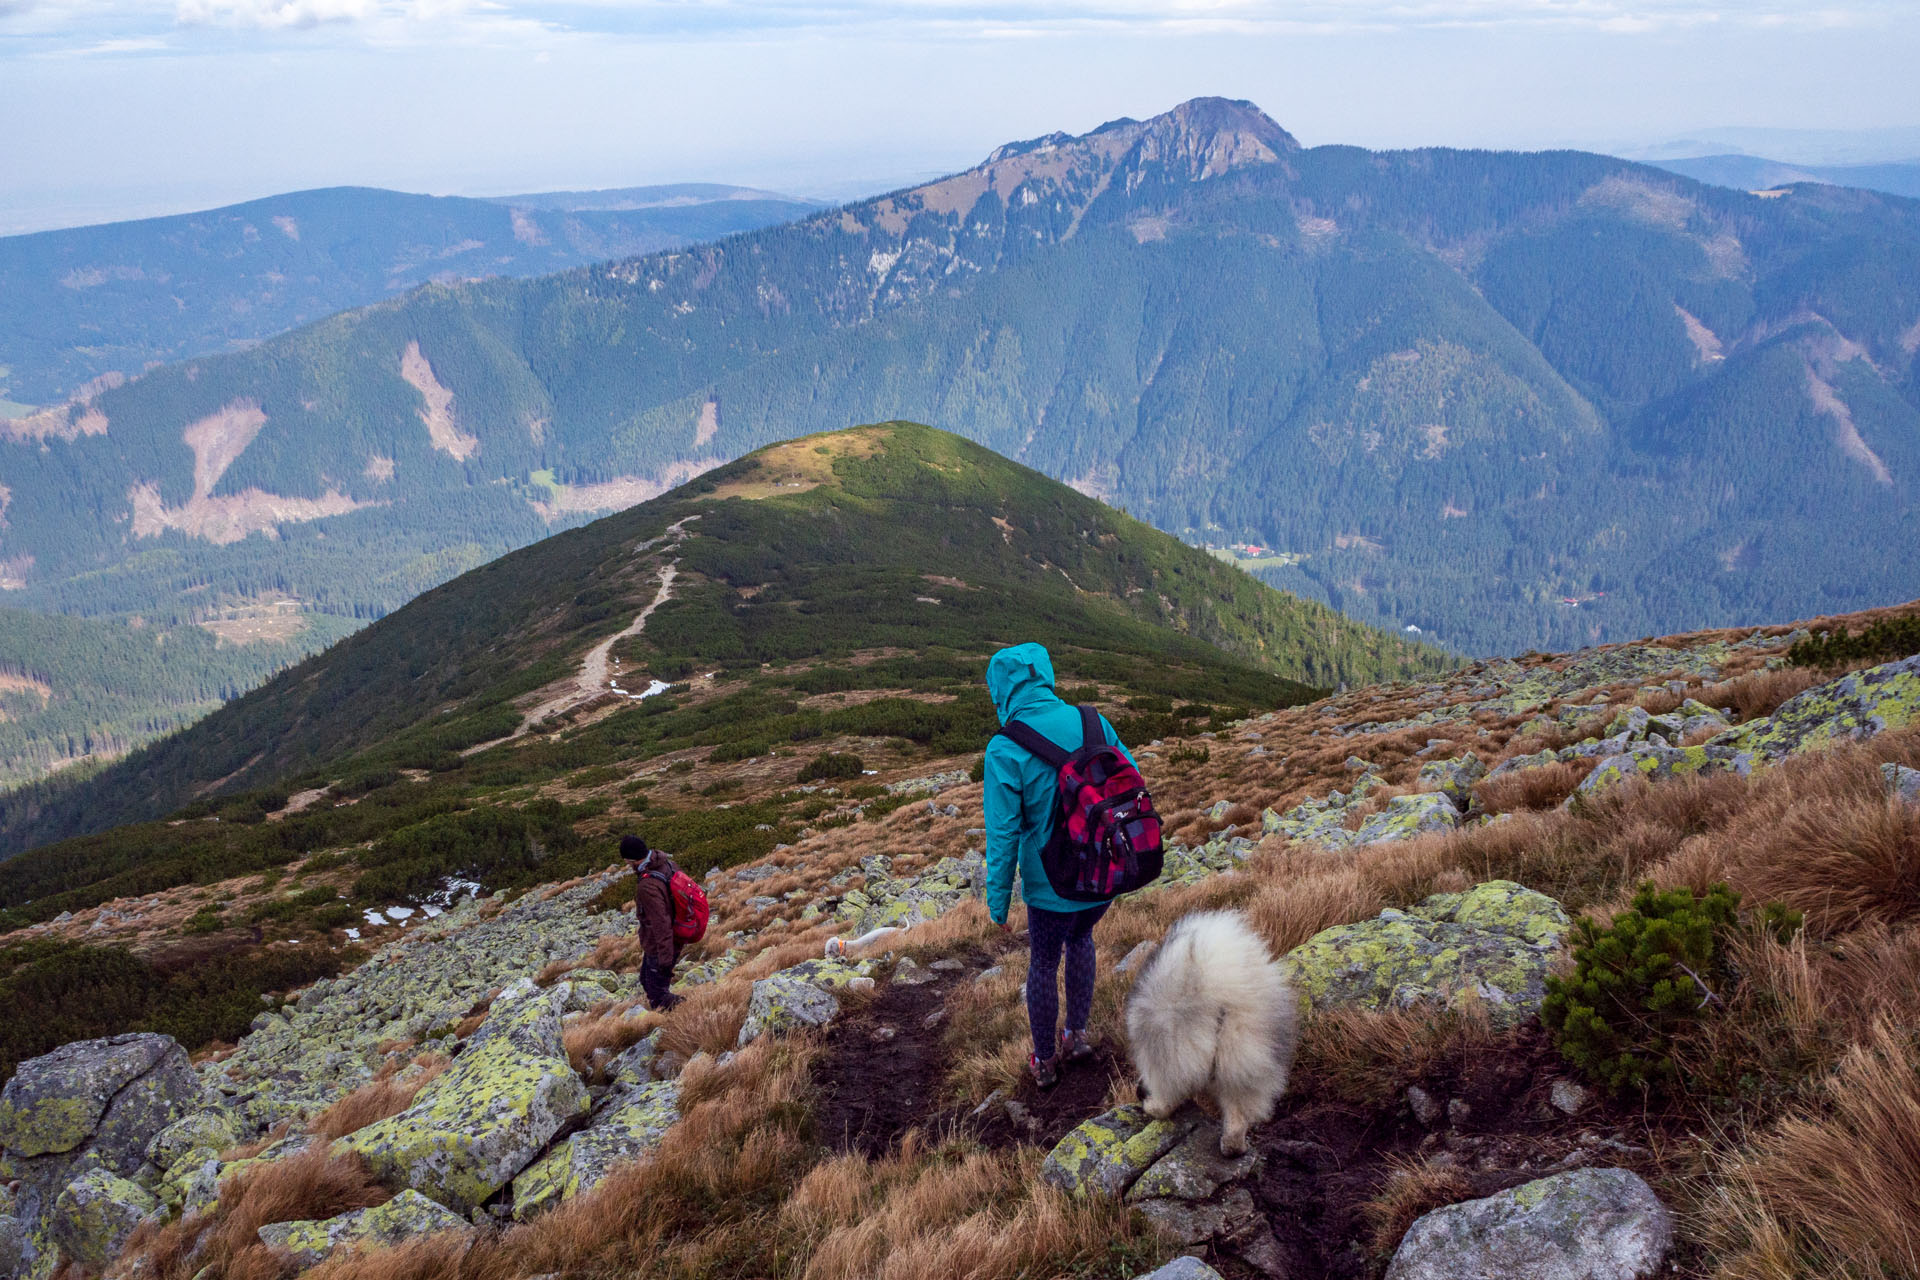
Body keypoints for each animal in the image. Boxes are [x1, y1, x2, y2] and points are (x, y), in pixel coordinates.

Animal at [1121, 905, 1305, 1159]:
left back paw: (1154, 1107)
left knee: (1168, 1094)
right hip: (1244, 1056)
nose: (1139, 1091)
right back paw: (1233, 1147)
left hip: (1168, 1046)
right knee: (1237, 1114)